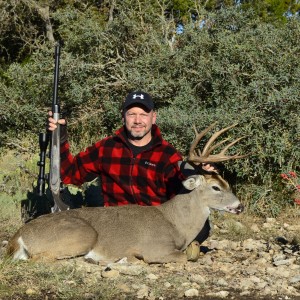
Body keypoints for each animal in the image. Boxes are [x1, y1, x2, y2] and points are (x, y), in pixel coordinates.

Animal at [6, 123, 246, 264]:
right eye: (216, 187)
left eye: (226, 183)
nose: (239, 206)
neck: (176, 222)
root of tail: (19, 235)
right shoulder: (155, 248)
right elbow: (186, 257)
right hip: (82, 235)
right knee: (40, 259)